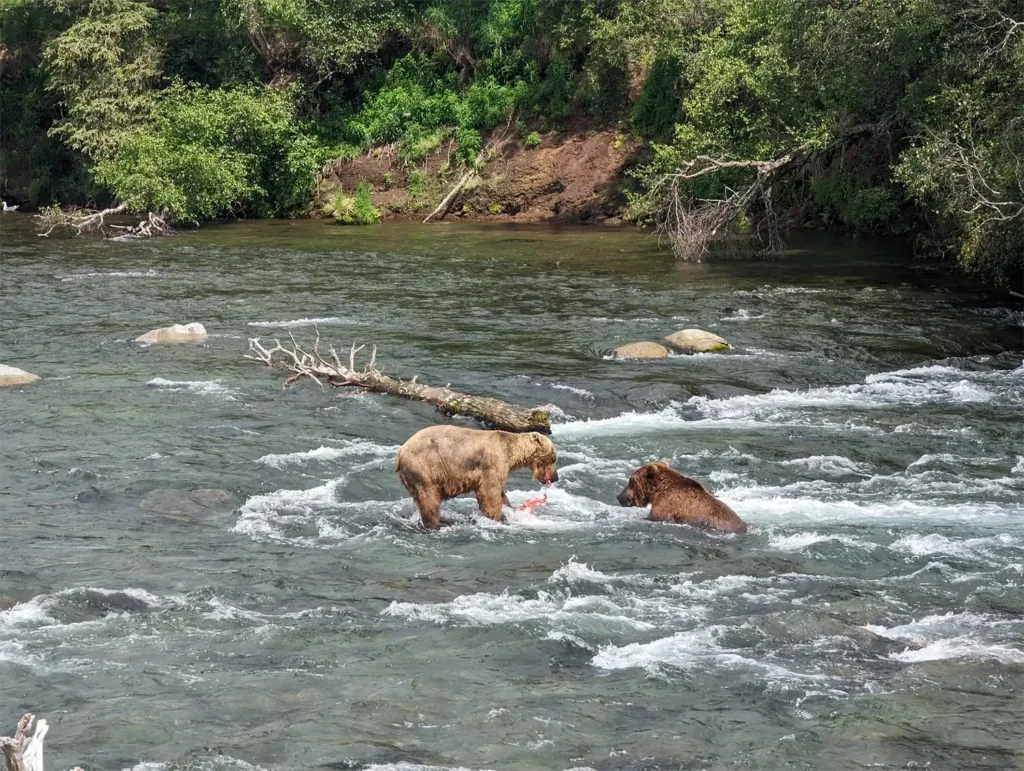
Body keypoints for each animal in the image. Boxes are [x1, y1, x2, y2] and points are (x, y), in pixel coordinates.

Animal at [395, 425, 559, 530]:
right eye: (554, 457)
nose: (555, 477)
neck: (511, 454)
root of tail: (399, 454)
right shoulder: (492, 464)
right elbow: (489, 493)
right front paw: (499, 517)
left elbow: (500, 493)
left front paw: (509, 509)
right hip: (425, 467)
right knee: (429, 499)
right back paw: (439, 523)